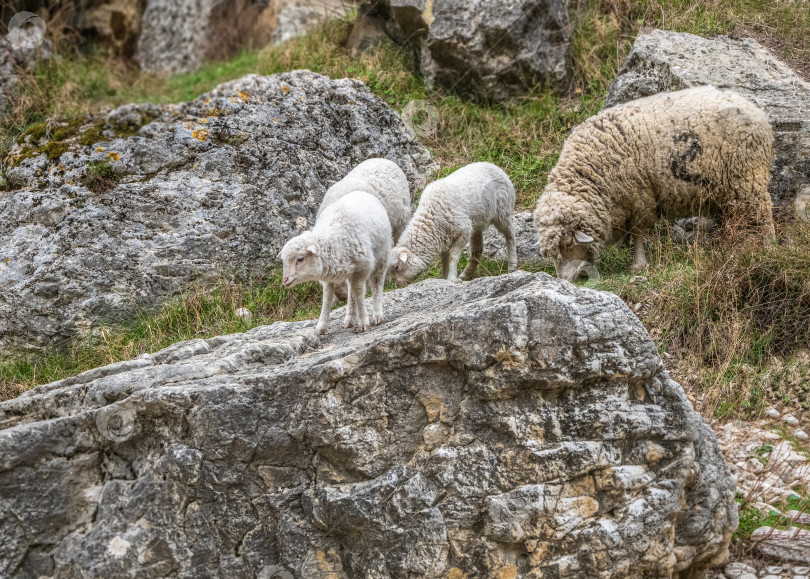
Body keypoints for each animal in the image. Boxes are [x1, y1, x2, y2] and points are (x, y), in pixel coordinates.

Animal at [280, 191, 390, 334]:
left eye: (300, 259)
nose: (285, 280)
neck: (334, 241)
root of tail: (360, 192)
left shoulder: (361, 269)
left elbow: (359, 294)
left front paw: (363, 321)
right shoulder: (330, 276)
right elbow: (327, 298)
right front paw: (321, 326)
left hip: (382, 257)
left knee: (377, 284)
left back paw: (377, 315)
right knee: (351, 292)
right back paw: (349, 319)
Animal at [388, 161, 516, 288]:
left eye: (396, 267)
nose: (399, 285)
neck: (431, 222)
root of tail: (495, 166)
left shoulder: (464, 230)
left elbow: (452, 257)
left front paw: (452, 278)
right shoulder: (444, 238)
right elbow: (444, 261)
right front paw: (445, 278)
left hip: (502, 211)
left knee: (510, 235)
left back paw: (512, 266)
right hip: (477, 223)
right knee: (477, 249)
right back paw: (466, 274)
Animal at [532, 85, 772, 282]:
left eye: (568, 243)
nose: (564, 280)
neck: (591, 172)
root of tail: (757, 112)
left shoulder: (639, 197)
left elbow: (638, 232)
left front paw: (638, 264)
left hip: (748, 180)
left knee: (762, 215)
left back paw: (762, 248)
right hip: (726, 191)